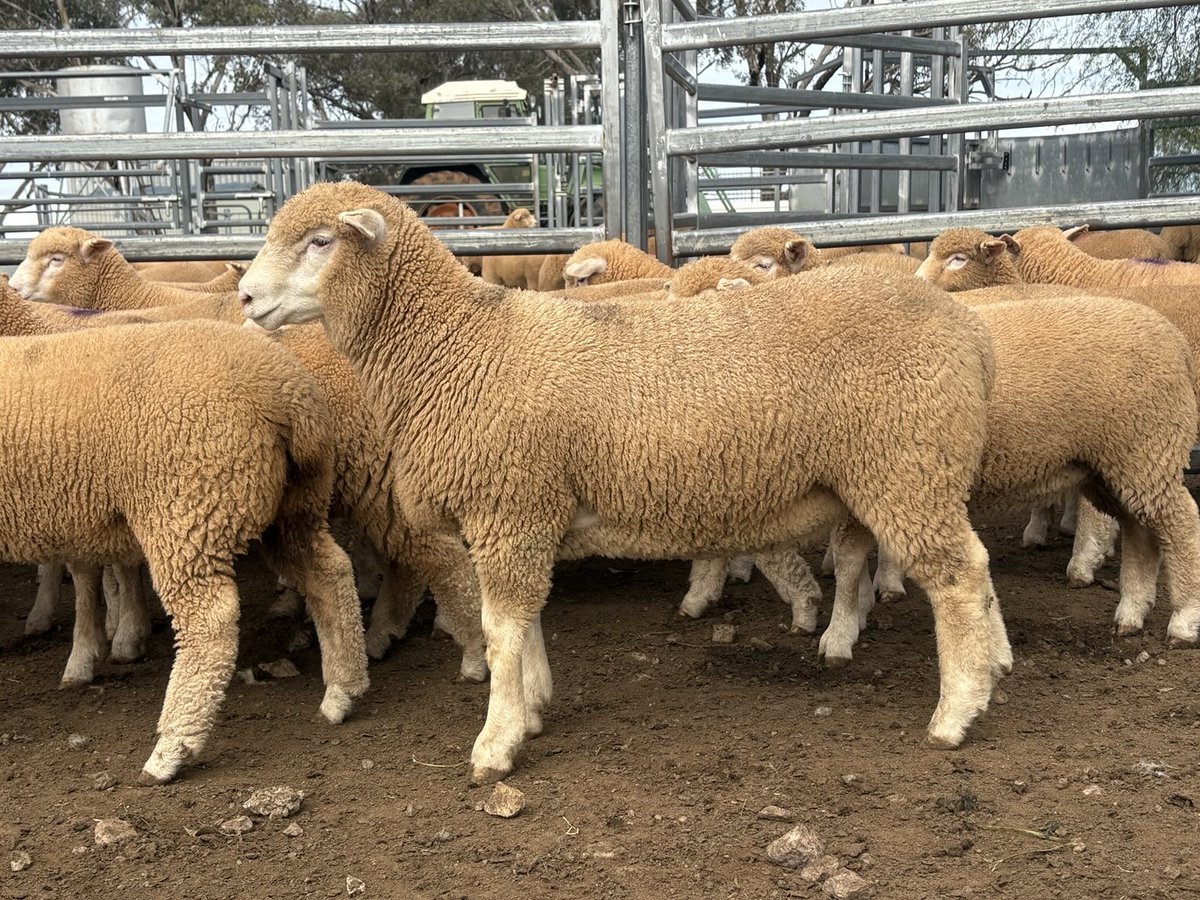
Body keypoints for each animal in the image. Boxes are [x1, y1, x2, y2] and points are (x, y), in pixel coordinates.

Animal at [0, 319, 370, 783]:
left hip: (187, 504)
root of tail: (288, 391)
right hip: (292, 503)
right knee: (330, 575)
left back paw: (171, 747)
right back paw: (342, 691)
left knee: (209, 620)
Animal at [239, 180, 1013, 783]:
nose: (245, 298)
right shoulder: (526, 510)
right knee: (958, 564)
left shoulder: (507, 503)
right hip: (905, 473)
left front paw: (495, 743)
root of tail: (970, 334)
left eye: (319, 242)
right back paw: (984, 665)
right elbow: (527, 620)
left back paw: (956, 712)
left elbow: (500, 628)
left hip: (907, 467)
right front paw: (534, 708)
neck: (456, 347)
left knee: (958, 577)